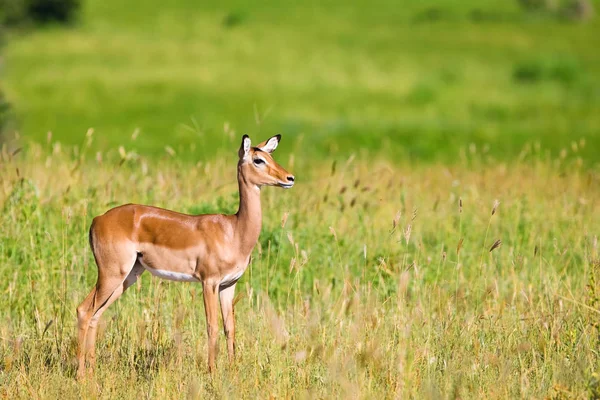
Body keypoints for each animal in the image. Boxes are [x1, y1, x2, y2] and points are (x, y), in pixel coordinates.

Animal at [75, 134, 296, 378]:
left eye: (271, 156)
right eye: (258, 160)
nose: (289, 178)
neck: (235, 231)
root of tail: (97, 220)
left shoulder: (228, 284)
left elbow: (230, 327)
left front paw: (232, 370)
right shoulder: (209, 282)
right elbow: (212, 326)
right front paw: (212, 372)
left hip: (128, 277)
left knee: (96, 314)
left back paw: (91, 371)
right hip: (111, 273)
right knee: (84, 310)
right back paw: (80, 375)